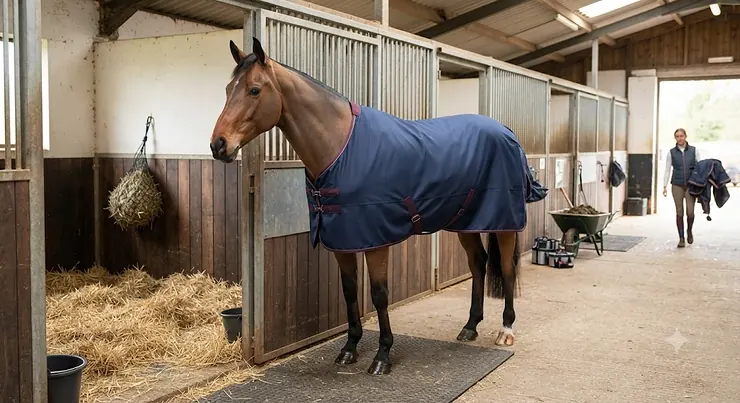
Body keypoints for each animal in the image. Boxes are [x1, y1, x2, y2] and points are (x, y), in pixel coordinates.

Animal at [210, 38, 548, 376]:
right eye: (227, 89)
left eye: (254, 90)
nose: (218, 145)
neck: (340, 148)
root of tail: (506, 132)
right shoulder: (343, 240)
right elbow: (349, 291)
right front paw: (349, 349)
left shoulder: (376, 242)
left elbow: (379, 294)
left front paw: (382, 355)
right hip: (466, 222)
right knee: (478, 263)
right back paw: (470, 327)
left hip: (503, 223)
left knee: (506, 270)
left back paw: (505, 330)